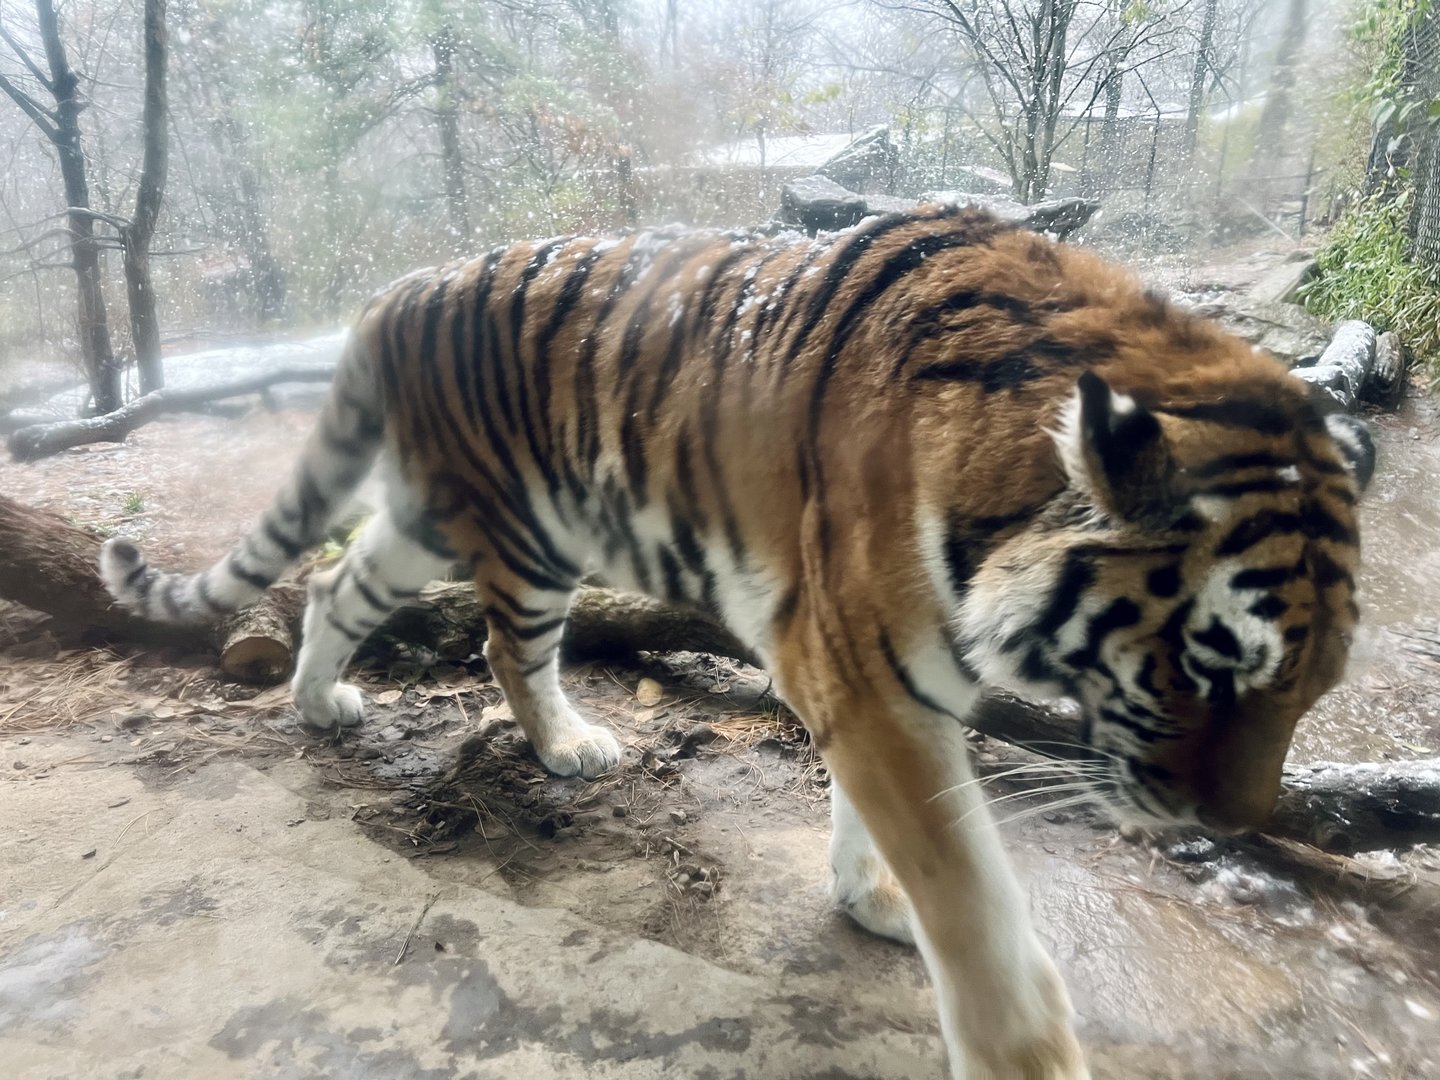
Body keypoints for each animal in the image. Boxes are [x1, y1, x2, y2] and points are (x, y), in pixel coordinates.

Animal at [98, 205, 1374, 1079]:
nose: (1236, 827)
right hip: (529, 531)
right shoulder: (858, 671)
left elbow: (885, 828)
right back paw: (565, 745)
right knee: (505, 650)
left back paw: (319, 703)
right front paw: (1025, 1052)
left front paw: (869, 901)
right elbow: (971, 894)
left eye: (1316, 691)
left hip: (426, 520)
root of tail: (397, 291)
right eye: (1212, 666)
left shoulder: (886, 682)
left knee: (334, 581)